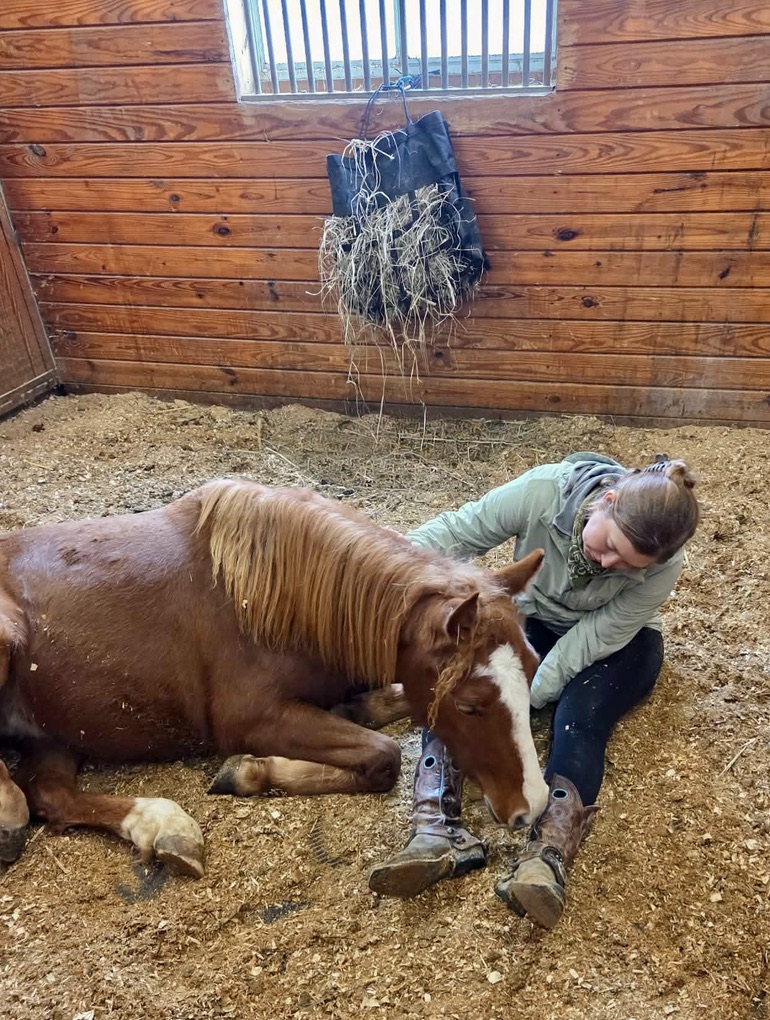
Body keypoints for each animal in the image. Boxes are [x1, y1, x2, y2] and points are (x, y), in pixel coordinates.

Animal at [0, 479, 547, 878]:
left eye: (534, 666)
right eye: (470, 705)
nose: (534, 805)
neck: (275, 597)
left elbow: (383, 704)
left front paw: (353, 708)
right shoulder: (251, 719)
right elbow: (383, 756)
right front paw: (250, 770)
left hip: (60, 731)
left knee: (51, 793)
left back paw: (158, 825)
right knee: (28, 793)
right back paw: (12, 813)